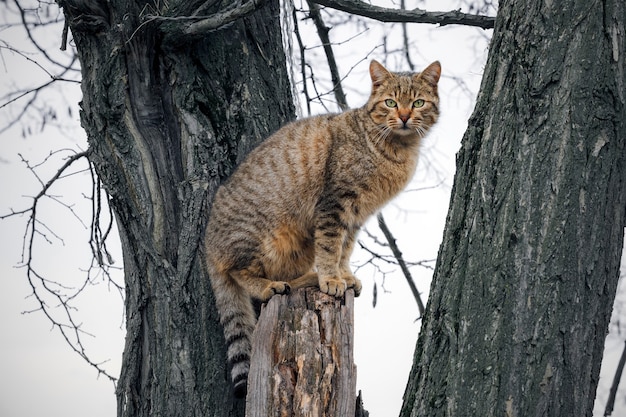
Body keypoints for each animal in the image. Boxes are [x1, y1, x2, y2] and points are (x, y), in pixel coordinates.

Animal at [204, 59, 438, 396]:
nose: (405, 116)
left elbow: (344, 248)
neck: (397, 147)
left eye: (417, 103)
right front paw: (331, 279)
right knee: (239, 271)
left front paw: (343, 275)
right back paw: (272, 285)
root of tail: (207, 242)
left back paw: (306, 278)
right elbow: (330, 246)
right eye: (391, 103)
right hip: (261, 237)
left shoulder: (356, 215)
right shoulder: (334, 203)